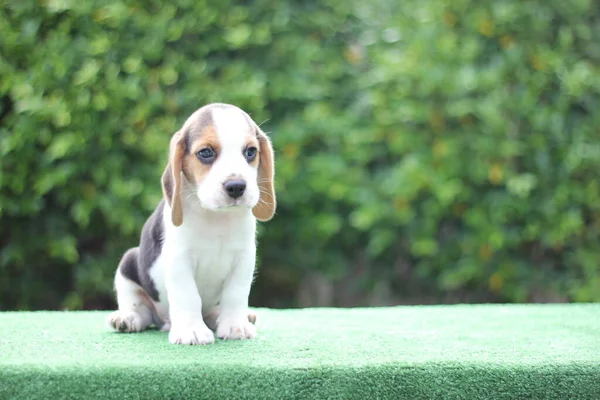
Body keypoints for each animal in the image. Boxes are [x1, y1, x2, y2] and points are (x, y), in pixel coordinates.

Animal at [106, 102, 276, 344]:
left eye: (250, 152)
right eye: (206, 153)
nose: (236, 186)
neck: (216, 217)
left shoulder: (244, 257)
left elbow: (236, 293)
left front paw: (235, 326)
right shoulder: (179, 259)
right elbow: (188, 295)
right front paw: (191, 330)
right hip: (129, 263)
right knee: (140, 309)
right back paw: (126, 319)